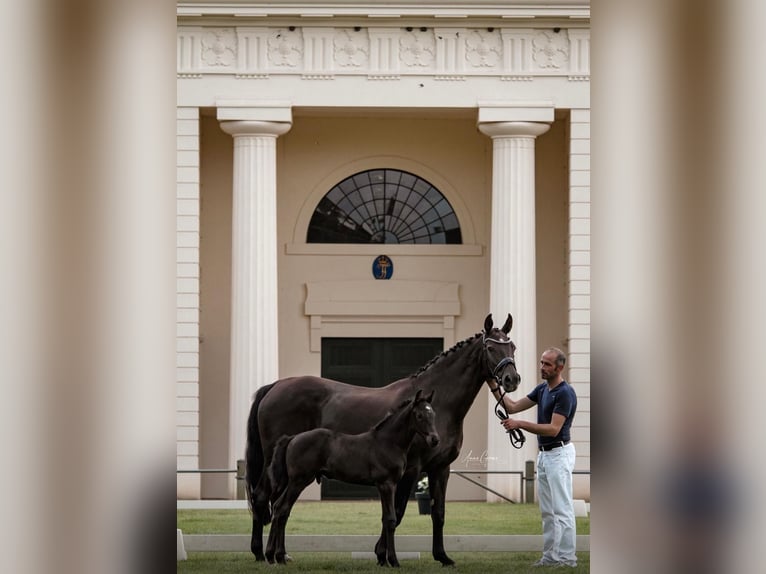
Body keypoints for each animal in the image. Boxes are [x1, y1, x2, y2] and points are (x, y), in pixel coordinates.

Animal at [264, 389, 440, 567]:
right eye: (419, 415)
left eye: (433, 414)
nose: (435, 439)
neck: (388, 443)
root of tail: (292, 438)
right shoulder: (386, 484)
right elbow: (391, 519)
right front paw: (394, 561)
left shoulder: (387, 486)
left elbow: (385, 518)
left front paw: (383, 560)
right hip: (299, 481)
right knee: (283, 508)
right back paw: (279, 556)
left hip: (293, 482)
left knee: (279, 508)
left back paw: (273, 556)